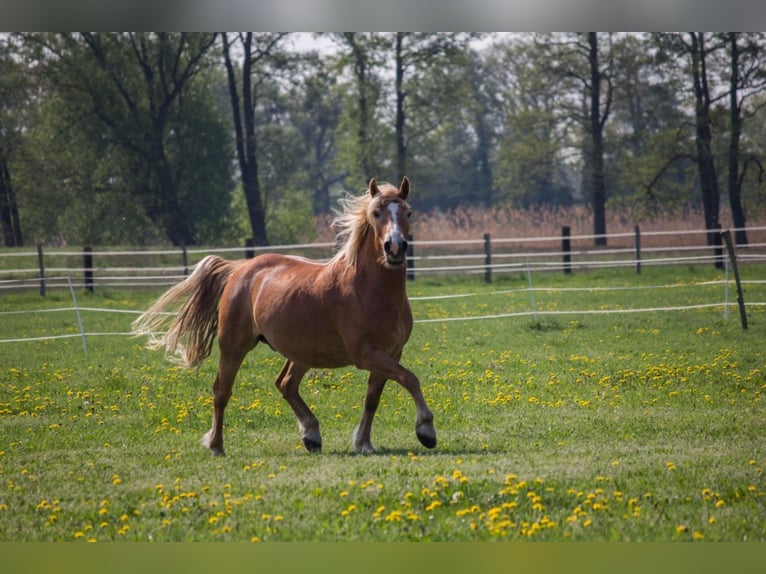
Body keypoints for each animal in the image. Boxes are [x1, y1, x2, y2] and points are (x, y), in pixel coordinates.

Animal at [132, 176, 436, 456]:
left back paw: (311, 435)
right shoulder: (366, 353)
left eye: (408, 212)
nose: (395, 247)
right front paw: (426, 430)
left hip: (302, 351)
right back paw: (217, 446)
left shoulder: (391, 352)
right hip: (234, 346)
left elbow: (373, 397)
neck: (368, 288)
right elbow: (410, 379)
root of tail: (240, 269)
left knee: (285, 384)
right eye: (376, 213)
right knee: (222, 390)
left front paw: (364, 442)